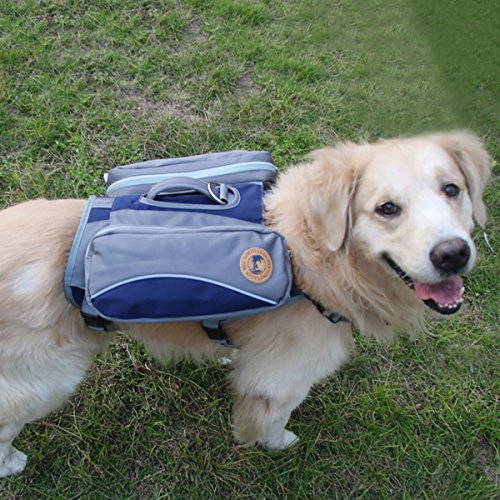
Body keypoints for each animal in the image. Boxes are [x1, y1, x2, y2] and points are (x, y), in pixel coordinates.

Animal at [0, 131, 490, 477]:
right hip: (47, 380)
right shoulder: (281, 381)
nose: (453, 254)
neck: (307, 259)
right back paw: (11, 464)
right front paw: (277, 442)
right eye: (387, 208)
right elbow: (273, 420)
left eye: (452, 189)